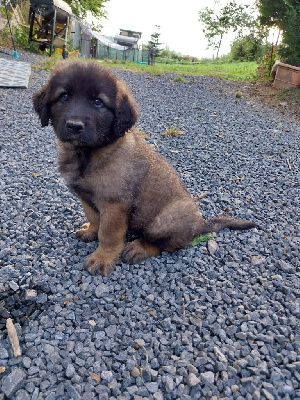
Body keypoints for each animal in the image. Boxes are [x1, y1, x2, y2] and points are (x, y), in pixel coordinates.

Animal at [33, 61, 255, 276]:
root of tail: (199, 225)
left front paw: (102, 258)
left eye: (98, 102)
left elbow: (109, 234)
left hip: (163, 220)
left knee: (166, 244)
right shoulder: (86, 197)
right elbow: (93, 216)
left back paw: (138, 248)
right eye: (64, 96)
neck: (88, 154)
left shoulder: (114, 204)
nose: (74, 126)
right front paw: (91, 230)